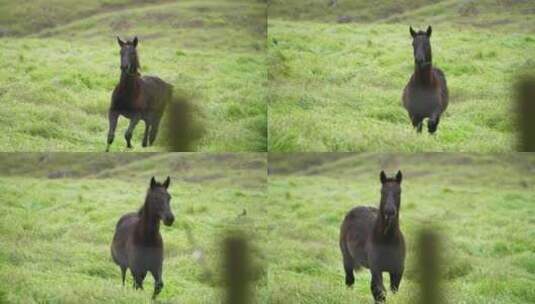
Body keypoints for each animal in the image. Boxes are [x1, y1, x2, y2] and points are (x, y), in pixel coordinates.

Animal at [340, 170, 406, 302]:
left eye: (399, 192)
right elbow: (381, 292)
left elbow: (391, 291)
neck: (388, 240)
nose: (389, 211)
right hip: (347, 258)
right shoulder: (377, 269)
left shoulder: (398, 270)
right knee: (350, 281)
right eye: (382, 192)